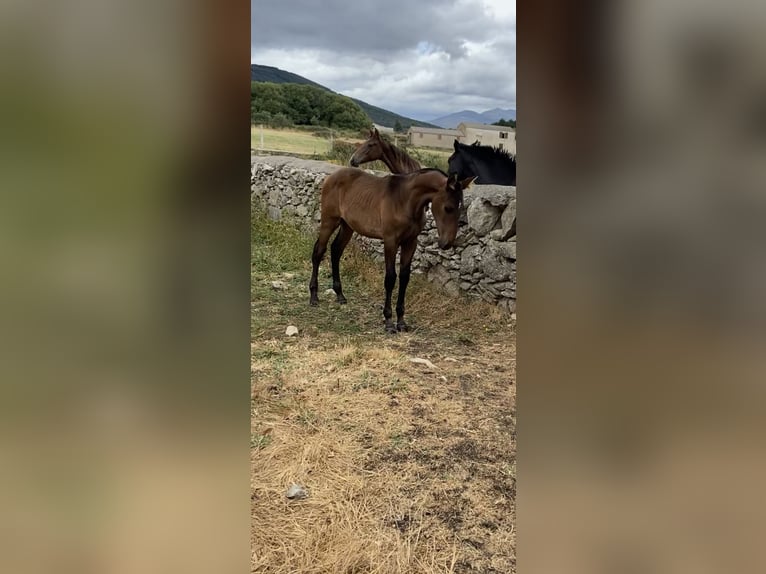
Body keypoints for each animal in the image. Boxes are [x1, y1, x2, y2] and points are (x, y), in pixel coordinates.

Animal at [310, 168, 474, 332]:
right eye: (448, 208)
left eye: (461, 209)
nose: (446, 243)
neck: (405, 201)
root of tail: (332, 176)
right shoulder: (390, 241)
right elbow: (390, 278)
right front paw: (388, 321)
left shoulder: (410, 242)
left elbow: (404, 277)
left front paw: (401, 321)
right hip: (329, 221)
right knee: (318, 251)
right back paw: (313, 297)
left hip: (347, 226)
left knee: (336, 250)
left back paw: (340, 294)